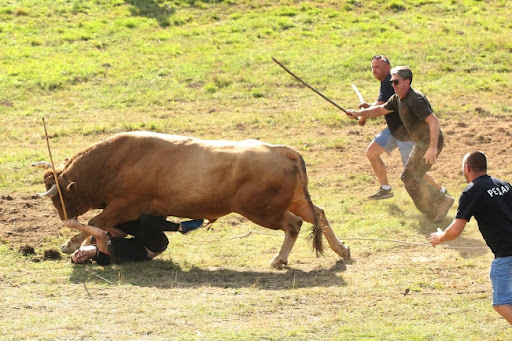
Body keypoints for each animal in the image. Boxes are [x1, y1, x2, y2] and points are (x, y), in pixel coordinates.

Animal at [34, 131, 350, 266]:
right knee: (319, 213)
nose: (65, 219)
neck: (115, 162)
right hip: (294, 201)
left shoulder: (125, 206)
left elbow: (97, 222)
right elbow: (100, 224)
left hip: (264, 212)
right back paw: (342, 249)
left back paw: (279, 260)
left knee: (294, 224)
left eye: (59, 197)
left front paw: (72, 243)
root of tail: (283, 151)